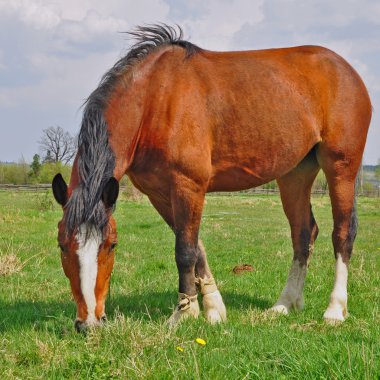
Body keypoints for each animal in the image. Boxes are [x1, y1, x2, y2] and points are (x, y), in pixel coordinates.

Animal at [51, 24, 372, 332]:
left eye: (111, 245)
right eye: (62, 245)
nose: (89, 322)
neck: (154, 99)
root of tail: (346, 70)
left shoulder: (188, 185)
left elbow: (185, 250)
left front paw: (184, 313)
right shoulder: (160, 194)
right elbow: (196, 247)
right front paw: (214, 309)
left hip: (340, 167)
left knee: (343, 233)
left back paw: (334, 310)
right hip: (295, 174)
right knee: (303, 234)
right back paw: (285, 304)